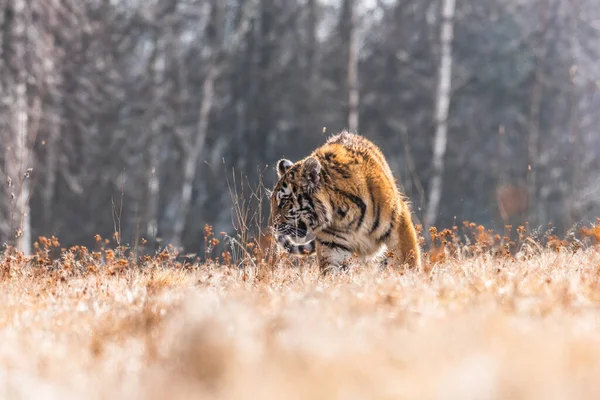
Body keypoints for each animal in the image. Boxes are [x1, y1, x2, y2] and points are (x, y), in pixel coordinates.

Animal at [268, 130, 422, 274]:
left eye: (284, 202)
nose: (272, 226)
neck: (342, 214)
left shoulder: (398, 222)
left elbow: (408, 260)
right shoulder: (331, 246)